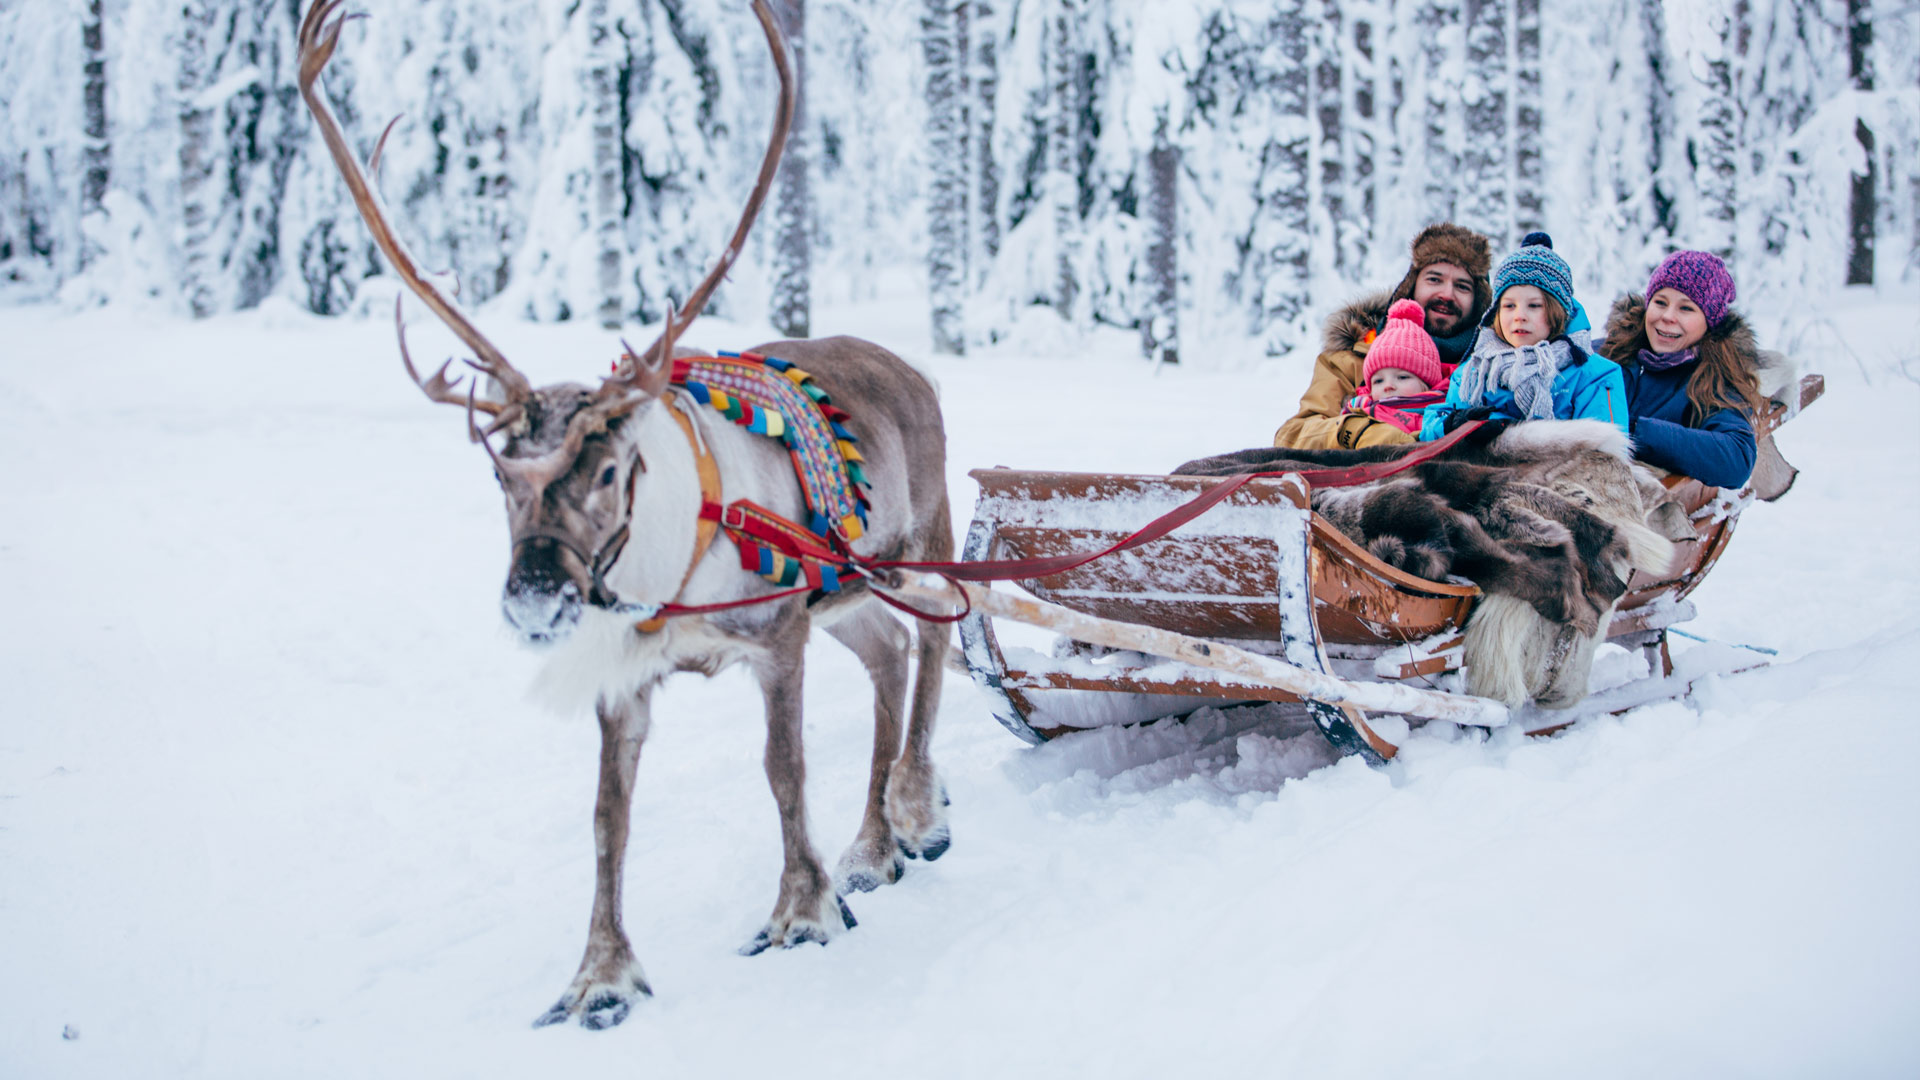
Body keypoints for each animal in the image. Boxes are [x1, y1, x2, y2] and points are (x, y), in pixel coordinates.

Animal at [297, 0, 954, 1030]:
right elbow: (609, 817)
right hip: (846, 595)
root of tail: (911, 367)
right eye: (500, 476)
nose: (533, 597)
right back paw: (872, 845)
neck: (667, 576)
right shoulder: (623, 675)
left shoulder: (778, 636)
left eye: (607, 468)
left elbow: (783, 769)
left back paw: (917, 810)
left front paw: (801, 912)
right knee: (887, 652)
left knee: (936, 642)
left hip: (922, 540)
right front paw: (599, 976)